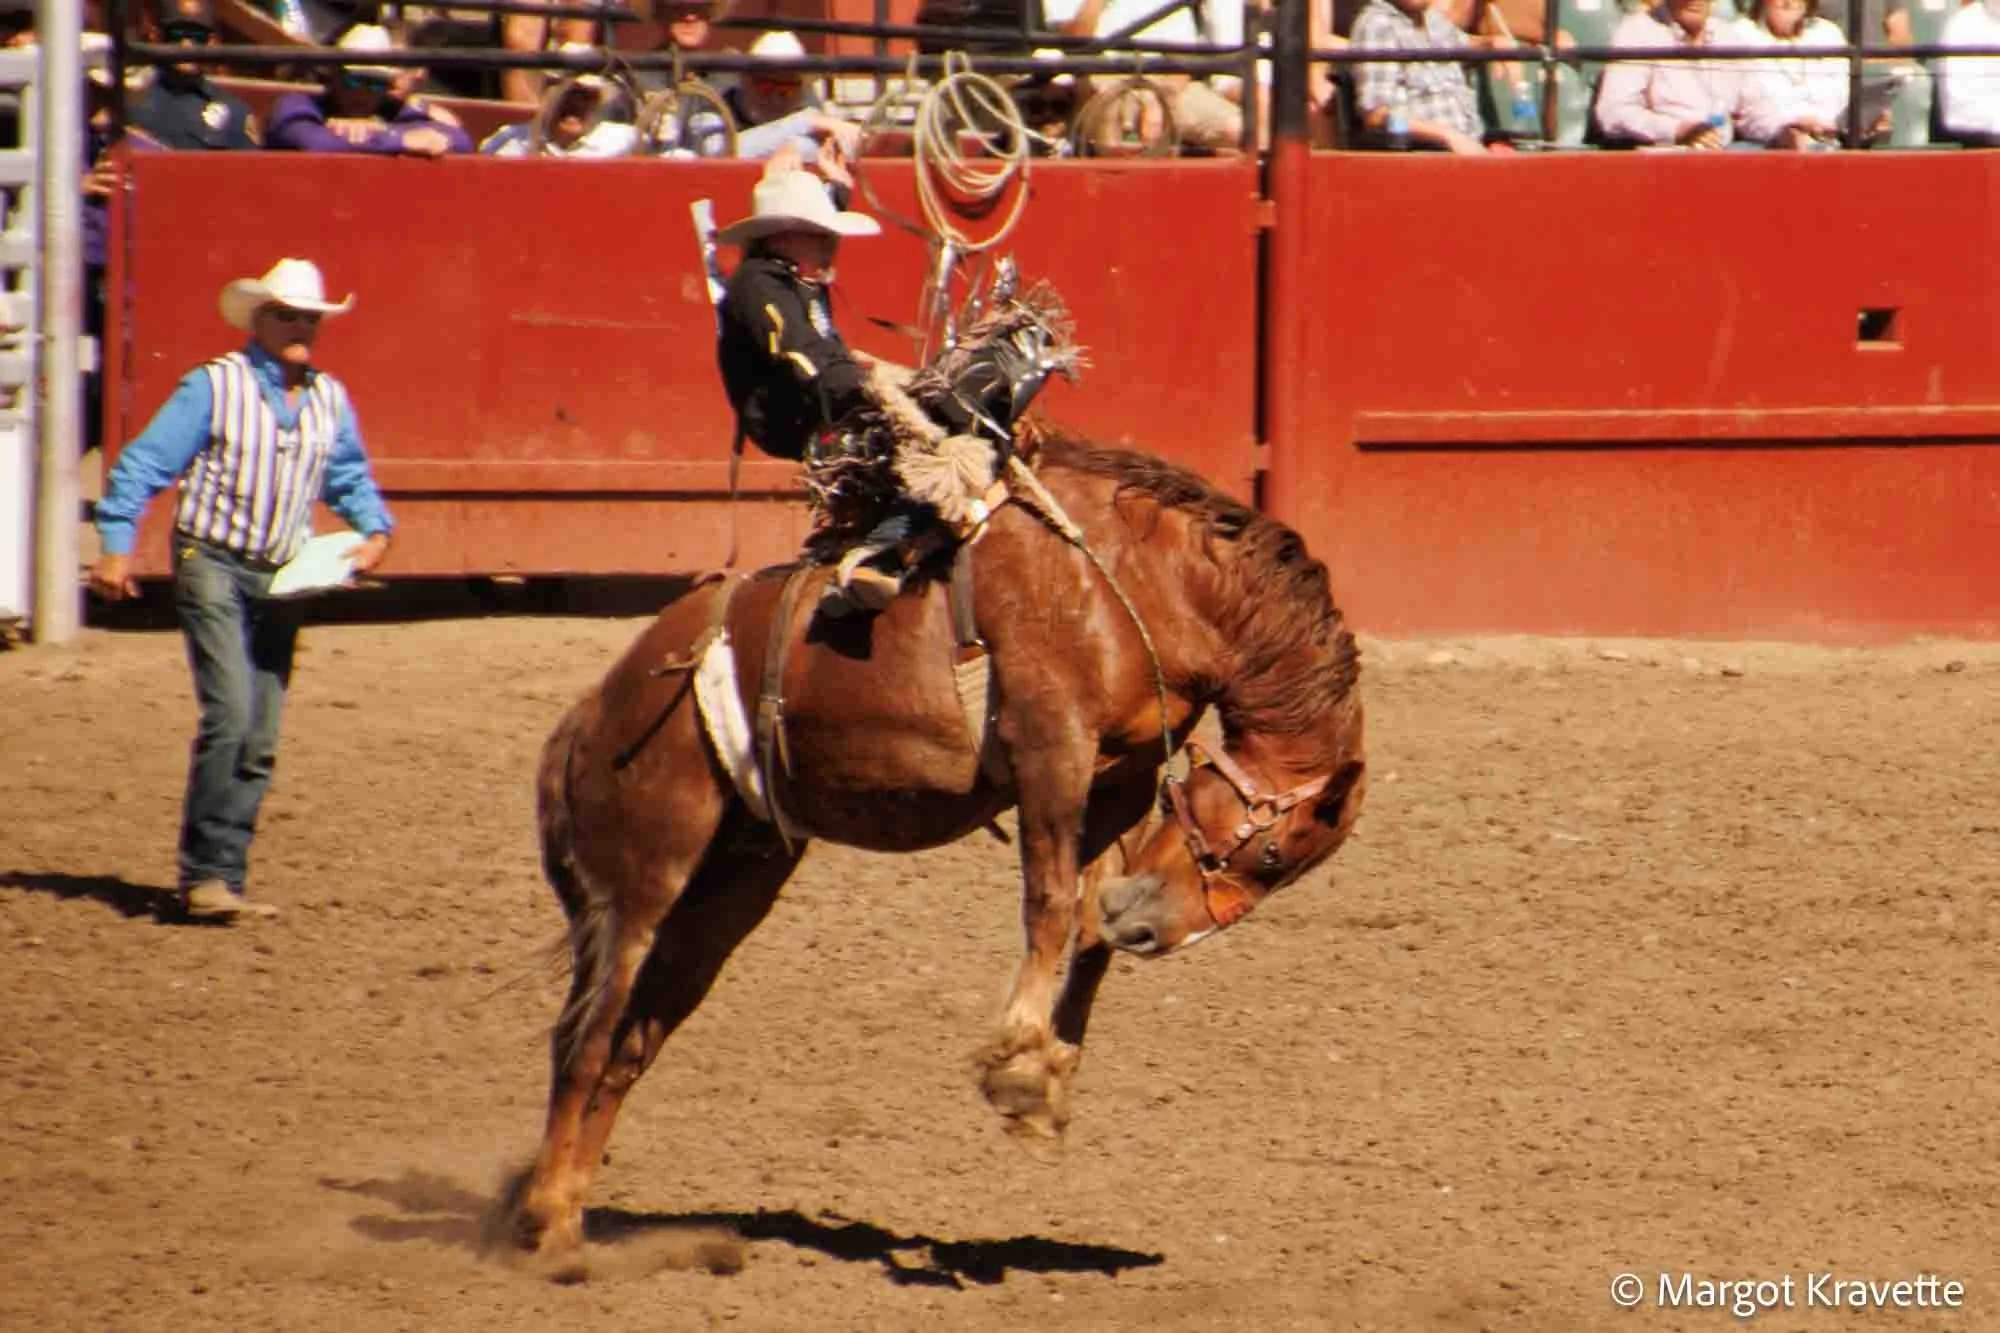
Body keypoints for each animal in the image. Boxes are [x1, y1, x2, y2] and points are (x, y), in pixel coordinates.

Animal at [497, 430, 1369, 1255]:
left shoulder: (1122, 775)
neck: (1141, 580)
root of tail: (594, 708)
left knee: (628, 1043)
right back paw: (547, 1222)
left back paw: (568, 1215)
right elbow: (1051, 906)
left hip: (728, 892)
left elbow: (1089, 931)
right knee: (582, 1038)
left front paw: (1049, 1079)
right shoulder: (1050, 747)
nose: (1153, 932)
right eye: (1268, 855)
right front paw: (1019, 1066)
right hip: (643, 884)